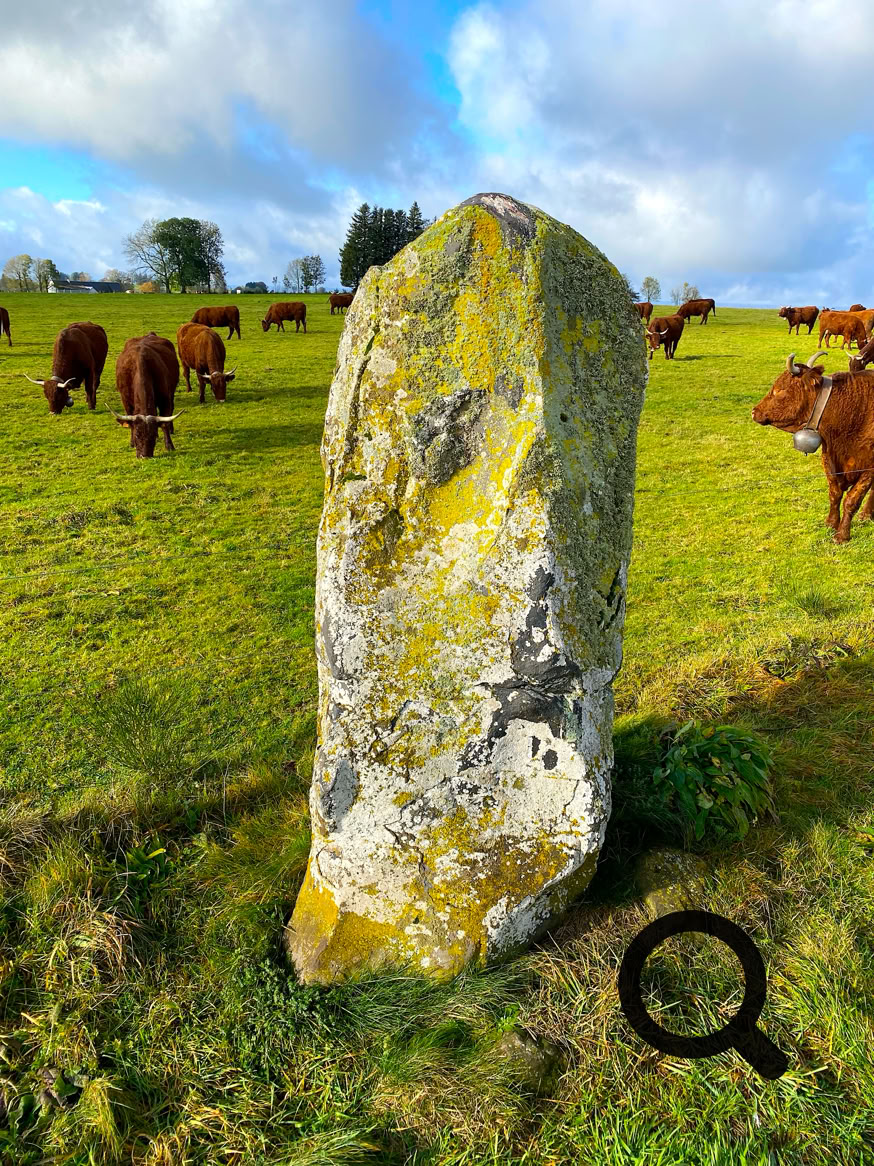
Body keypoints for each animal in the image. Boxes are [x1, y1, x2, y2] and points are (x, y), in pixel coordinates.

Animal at [752, 349, 874, 542]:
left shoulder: (869, 467)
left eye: (780, 389)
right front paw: (831, 523)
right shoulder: (829, 457)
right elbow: (835, 493)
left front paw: (842, 535)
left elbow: (852, 500)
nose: (754, 411)